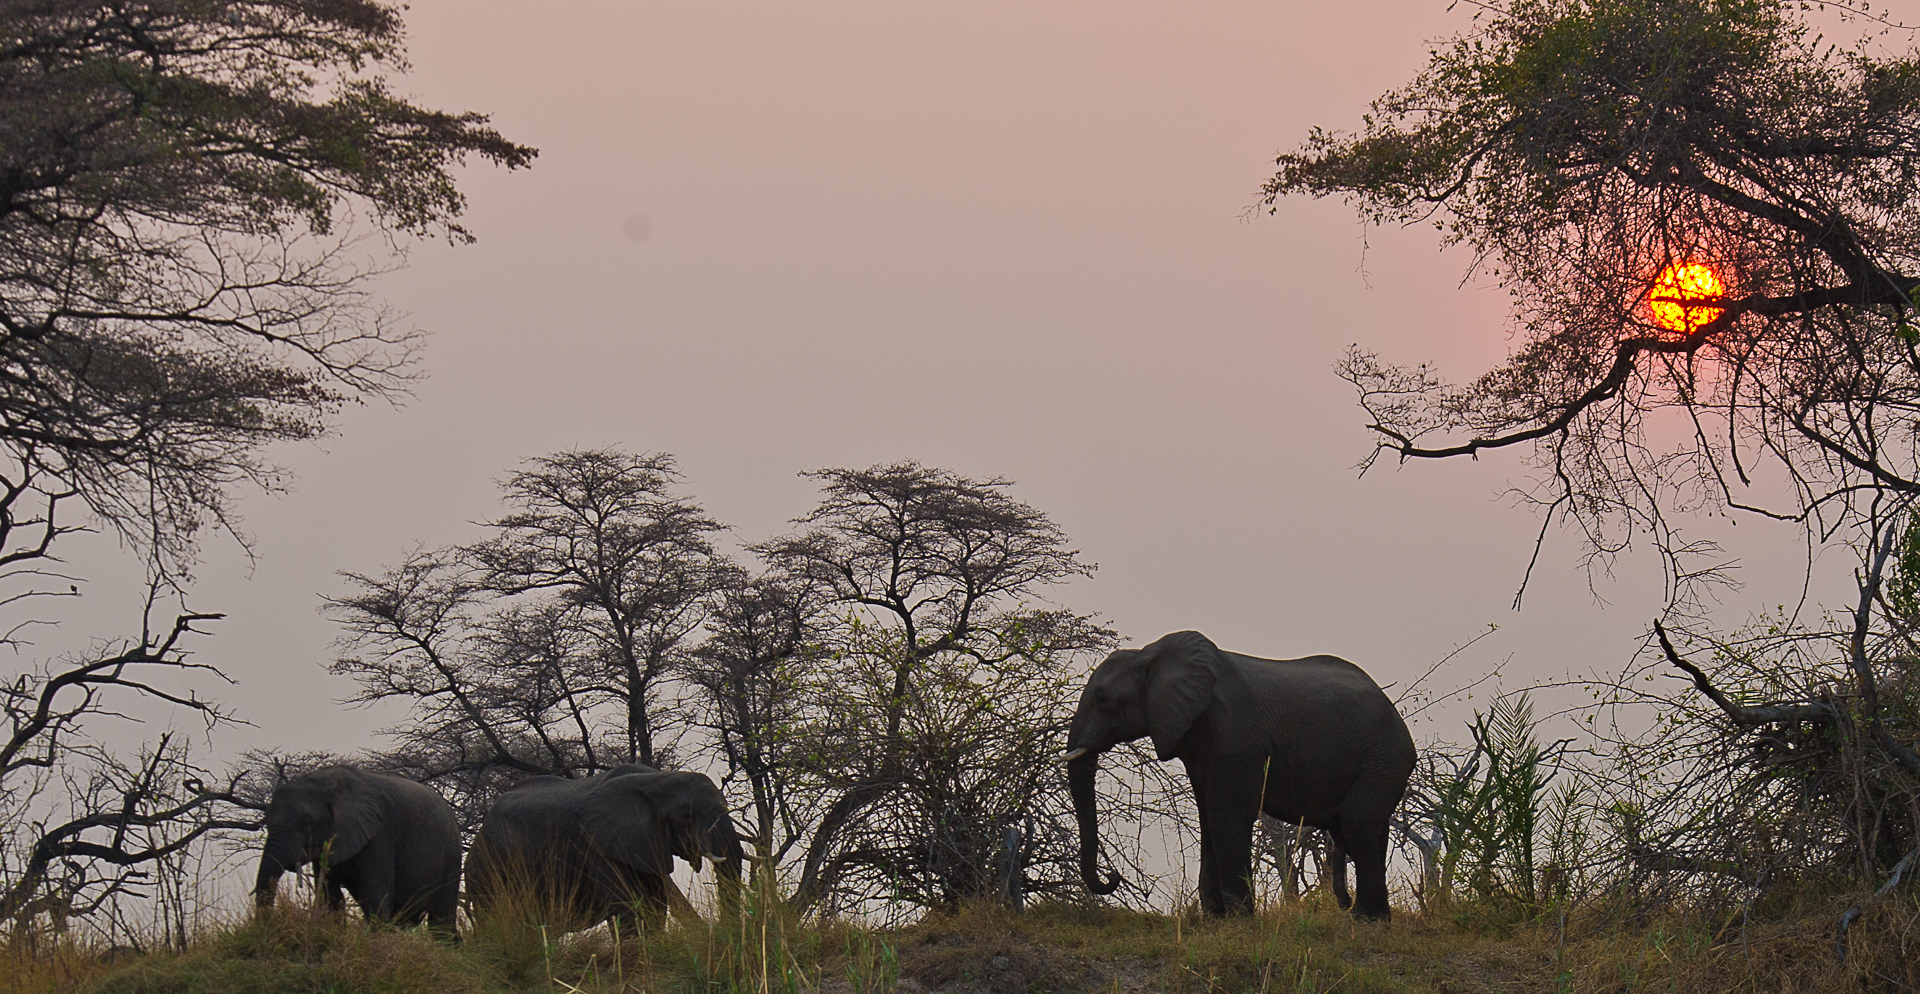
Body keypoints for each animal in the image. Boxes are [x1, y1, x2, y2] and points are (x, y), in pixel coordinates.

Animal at [253, 766, 462, 934]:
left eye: (306, 823)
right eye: (266, 822)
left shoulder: (380, 833)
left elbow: (375, 899)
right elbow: (330, 900)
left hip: (451, 852)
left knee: (442, 920)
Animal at [465, 766, 744, 930]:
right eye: (687, 815)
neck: (654, 779)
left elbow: (654, 905)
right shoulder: (596, 844)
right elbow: (624, 904)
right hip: (485, 869)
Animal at [1065, 631, 1415, 920]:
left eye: (1104, 700)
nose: (1114, 876)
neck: (1151, 655)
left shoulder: (1234, 733)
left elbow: (1228, 813)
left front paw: (1239, 920)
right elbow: (1208, 814)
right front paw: (1216, 919)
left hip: (1384, 757)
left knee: (1358, 824)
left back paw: (1366, 921)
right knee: (1368, 829)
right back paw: (1365, 916)